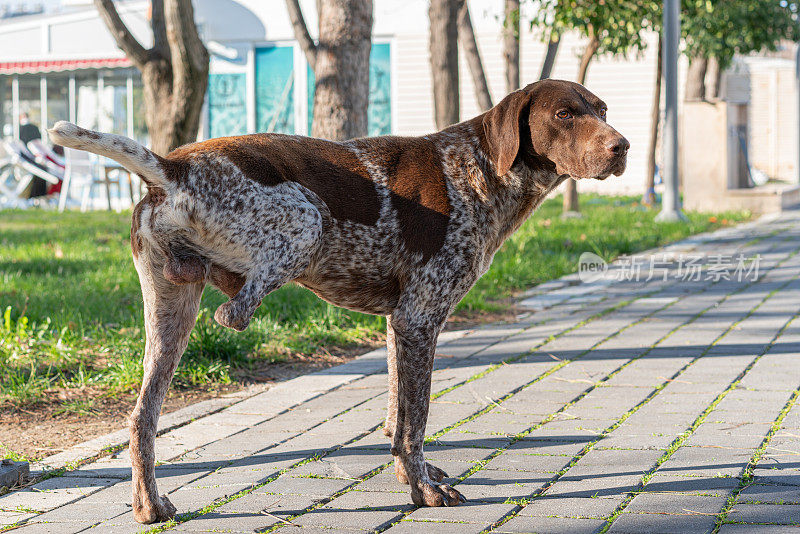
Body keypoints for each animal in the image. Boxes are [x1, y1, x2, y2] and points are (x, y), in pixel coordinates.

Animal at [48, 79, 624, 528]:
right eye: (565, 114)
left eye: (602, 108)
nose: (623, 146)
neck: (480, 169)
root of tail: (172, 168)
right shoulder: (419, 318)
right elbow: (414, 422)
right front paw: (423, 490)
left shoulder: (400, 323)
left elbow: (398, 415)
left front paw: (413, 473)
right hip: (305, 220)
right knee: (234, 312)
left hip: (169, 313)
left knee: (142, 416)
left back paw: (150, 506)